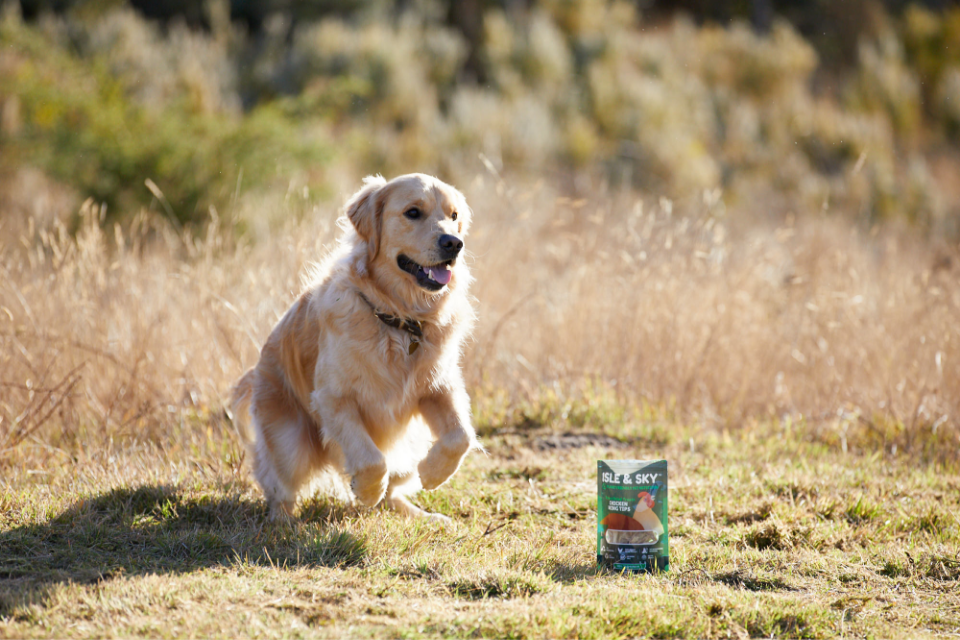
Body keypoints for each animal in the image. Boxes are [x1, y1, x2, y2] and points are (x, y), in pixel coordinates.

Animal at [233, 175, 480, 520]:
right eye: (413, 212)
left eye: (454, 215)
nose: (454, 243)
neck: (399, 319)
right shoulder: (334, 398)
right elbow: (371, 459)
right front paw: (366, 490)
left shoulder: (438, 386)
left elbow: (461, 436)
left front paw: (432, 473)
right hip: (288, 442)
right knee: (278, 487)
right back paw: (284, 522)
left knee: (396, 489)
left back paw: (423, 514)